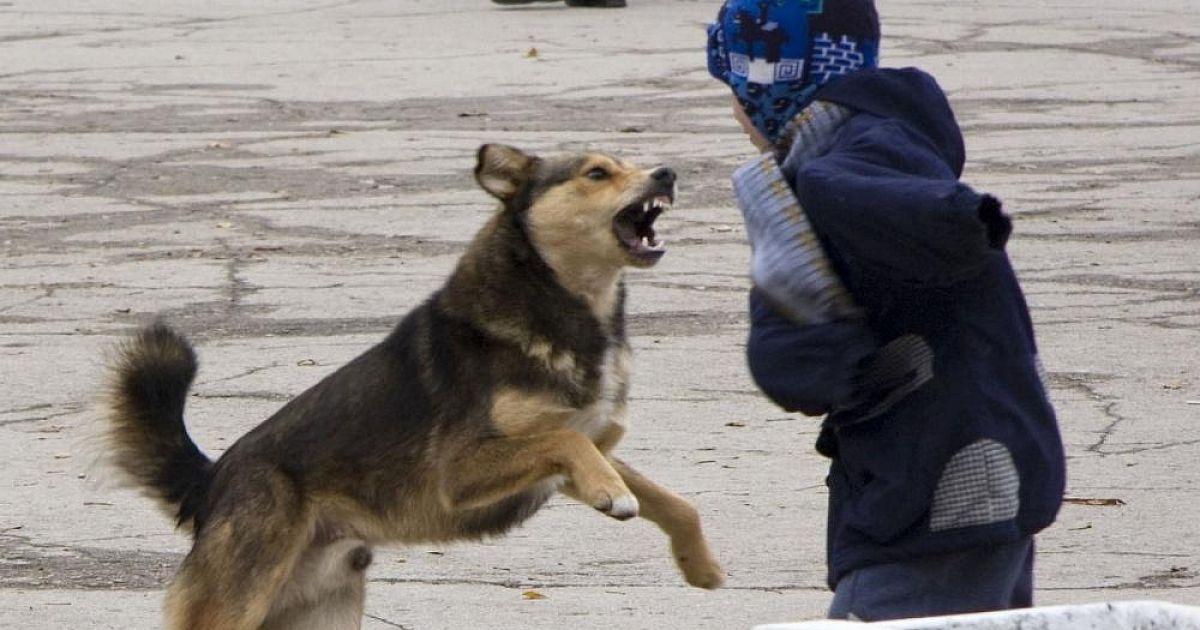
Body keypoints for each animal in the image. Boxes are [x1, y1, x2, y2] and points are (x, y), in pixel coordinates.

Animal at [103, 145, 720, 624]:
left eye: (630, 162)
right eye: (596, 172)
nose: (666, 173)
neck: (562, 304)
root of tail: (210, 483)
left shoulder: (582, 453)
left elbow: (674, 501)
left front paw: (700, 564)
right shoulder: (462, 472)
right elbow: (566, 441)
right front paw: (613, 496)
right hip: (239, 597)